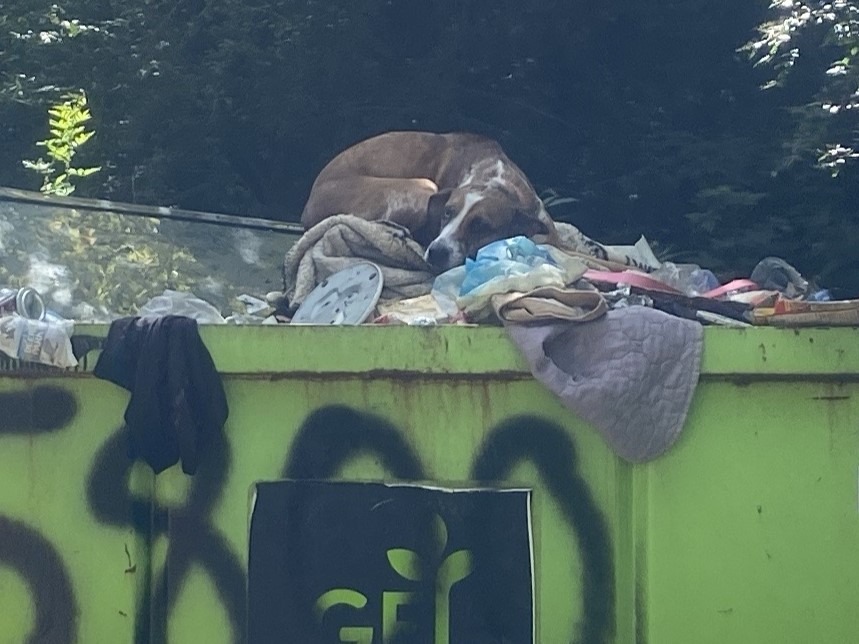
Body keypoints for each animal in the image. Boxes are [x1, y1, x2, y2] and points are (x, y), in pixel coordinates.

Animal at [302, 131, 612, 272]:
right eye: (446, 213)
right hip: (421, 186)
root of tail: (309, 204)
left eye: (480, 225)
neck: (496, 180)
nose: (436, 252)